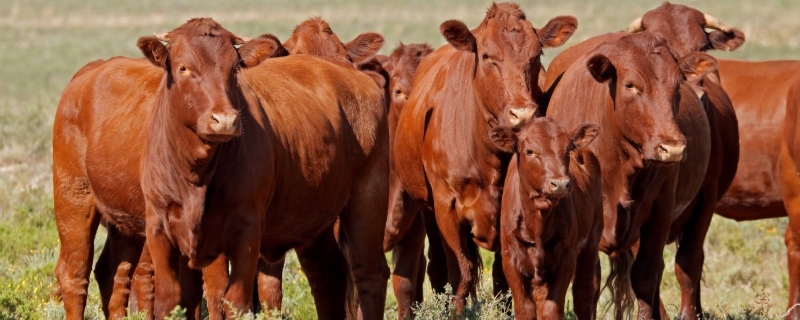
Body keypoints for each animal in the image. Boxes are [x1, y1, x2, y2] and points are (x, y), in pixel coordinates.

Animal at [52, 18, 278, 318]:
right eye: (183, 67)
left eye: (234, 67)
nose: (225, 120)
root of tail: (88, 72)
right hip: (73, 198)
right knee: (74, 274)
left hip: (125, 219)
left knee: (113, 273)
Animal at [392, 2, 576, 312]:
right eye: (488, 56)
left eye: (536, 55)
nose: (522, 114)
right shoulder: (446, 206)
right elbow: (461, 273)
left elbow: (503, 277)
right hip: (427, 207)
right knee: (438, 267)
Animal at [490, 118, 604, 320]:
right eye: (530, 151)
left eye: (568, 150)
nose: (560, 183)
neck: (537, 224)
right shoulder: (510, 258)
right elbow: (525, 308)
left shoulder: (567, 257)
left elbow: (551, 309)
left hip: (592, 239)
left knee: (584, 292)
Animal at [544, 30, 720, 320]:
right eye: (630, 85)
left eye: (678, 85)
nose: (672, 147)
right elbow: (587, 289)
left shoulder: (660, 212)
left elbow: (646, 278)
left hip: (704, 204)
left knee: (687, 265)